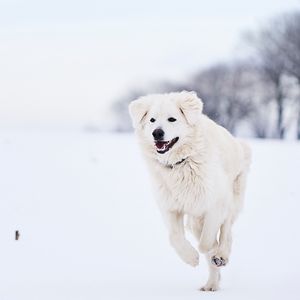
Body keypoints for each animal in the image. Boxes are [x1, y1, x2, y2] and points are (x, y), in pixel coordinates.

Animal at [128, 91, 251, 290]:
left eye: (172, 119)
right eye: (152, 120)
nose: (157, 133)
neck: (181, 163)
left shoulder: (216, 202)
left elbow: (208, 238)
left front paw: (206, 250)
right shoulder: (170, 207)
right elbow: (174, 236)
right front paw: (191, 258)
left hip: (232, 199)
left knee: (226, 233)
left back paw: (220, 256)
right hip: (195, 219)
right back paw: (211, 284)